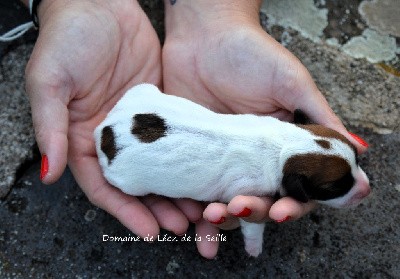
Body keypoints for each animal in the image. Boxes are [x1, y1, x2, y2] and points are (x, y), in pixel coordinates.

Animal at [94, 83, 368, 258]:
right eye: (335, 187)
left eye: (357, 159)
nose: (367, 190)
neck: (282, 146)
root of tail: (104, 130)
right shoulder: (245, 191)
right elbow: (252, 226)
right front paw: (254, 249)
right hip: (125, 180)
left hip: (141, 90)